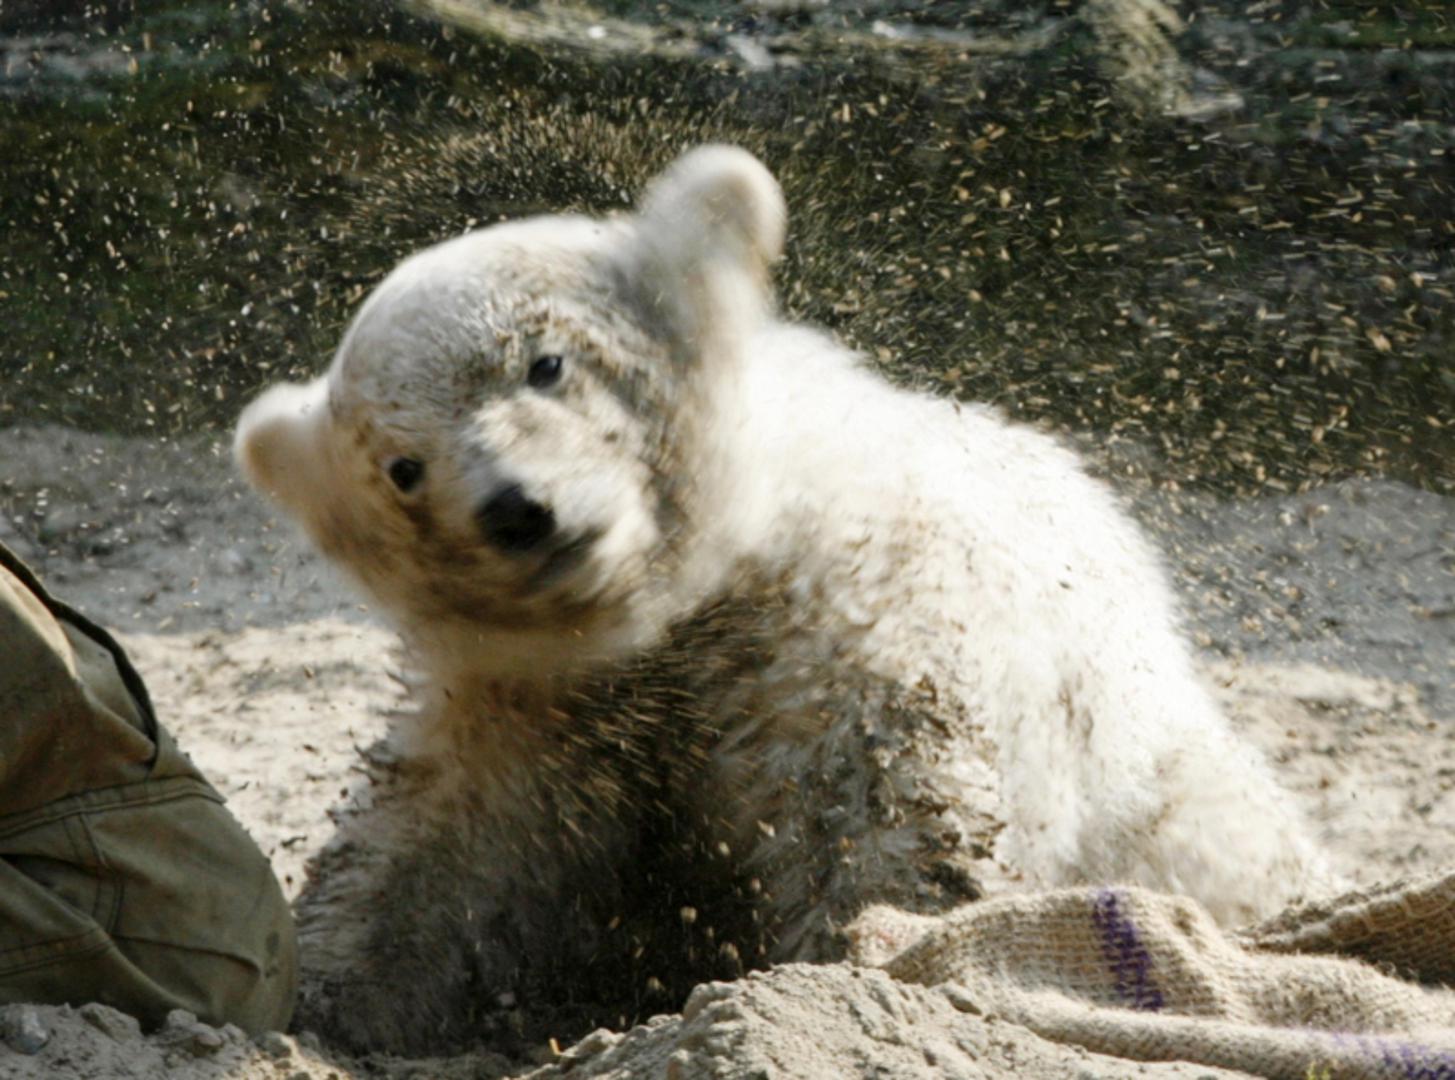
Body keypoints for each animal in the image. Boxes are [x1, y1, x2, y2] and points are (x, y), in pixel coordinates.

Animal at [234, 145, 1330, 1054]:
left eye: (545, 361)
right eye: (402, 468)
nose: (517, 509)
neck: (707, 587)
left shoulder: (849, 638)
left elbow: (880, 816)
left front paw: (860, 967)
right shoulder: (528, 701)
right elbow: (430, 855)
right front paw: (317, 995)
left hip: (1173, 796)